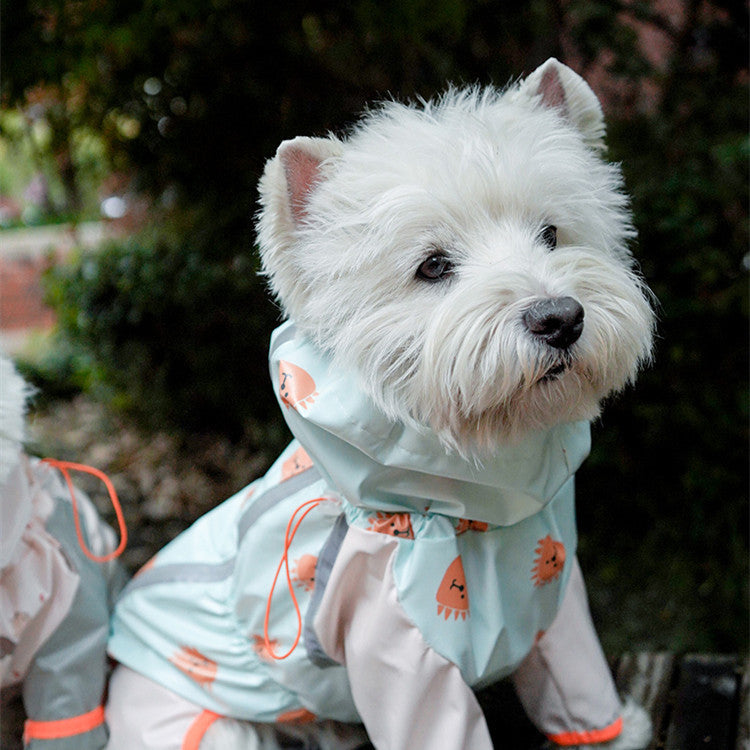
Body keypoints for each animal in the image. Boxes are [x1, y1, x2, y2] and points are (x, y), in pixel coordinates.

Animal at [107, 57, 656, 750]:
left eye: (551, 232)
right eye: (433, 266)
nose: (560, 318)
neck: (481, 512)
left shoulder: (555, 596)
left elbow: (579, 686)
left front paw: (617, 734)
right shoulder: (400, 648)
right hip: (205, 724)